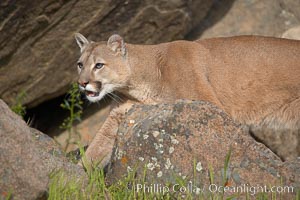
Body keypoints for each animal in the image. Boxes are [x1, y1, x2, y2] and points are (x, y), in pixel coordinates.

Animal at [74, 33, 298, 168]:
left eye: (99, 65)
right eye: (80, 64)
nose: (82, 83)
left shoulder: (209, 104)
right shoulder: (120, 116)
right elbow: (95, 150)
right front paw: (77, 180)